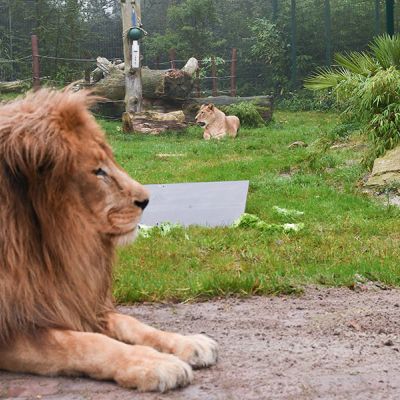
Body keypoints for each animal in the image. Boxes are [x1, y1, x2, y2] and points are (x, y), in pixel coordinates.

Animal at [0, 88, 217, 392]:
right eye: (98, 171)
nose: (147, 200)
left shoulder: (72, 298)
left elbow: (129, 322)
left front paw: (189, 343)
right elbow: (82, 343)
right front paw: (155, 364)